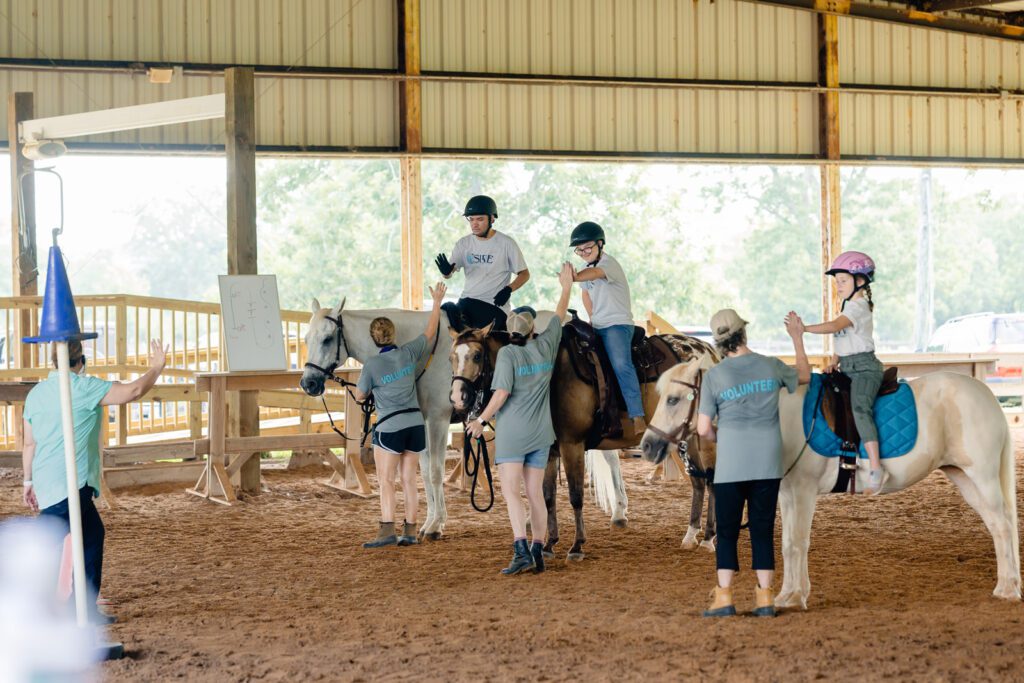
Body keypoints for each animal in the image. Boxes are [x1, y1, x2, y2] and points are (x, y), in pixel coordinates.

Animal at [299, 299, 454, 540]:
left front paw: (436, 526)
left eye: (327, 339)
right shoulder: (423, 422)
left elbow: (437, 473)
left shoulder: (439, 419)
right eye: (306, 339)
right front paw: (430, 522)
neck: (429, 351)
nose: (309, 383)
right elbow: (426, 472)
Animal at [643, 356, 1019, 606]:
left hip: (982, 477)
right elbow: (788, 544)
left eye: (673, 399)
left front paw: (794, 597)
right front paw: (789, 593)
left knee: (1002, 526)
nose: (648, 446)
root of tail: (986, 396)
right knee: (996, 526)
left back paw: (1008, 589)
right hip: (963, 477)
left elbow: (798, 542)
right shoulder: (788, 493)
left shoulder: (804, 491)